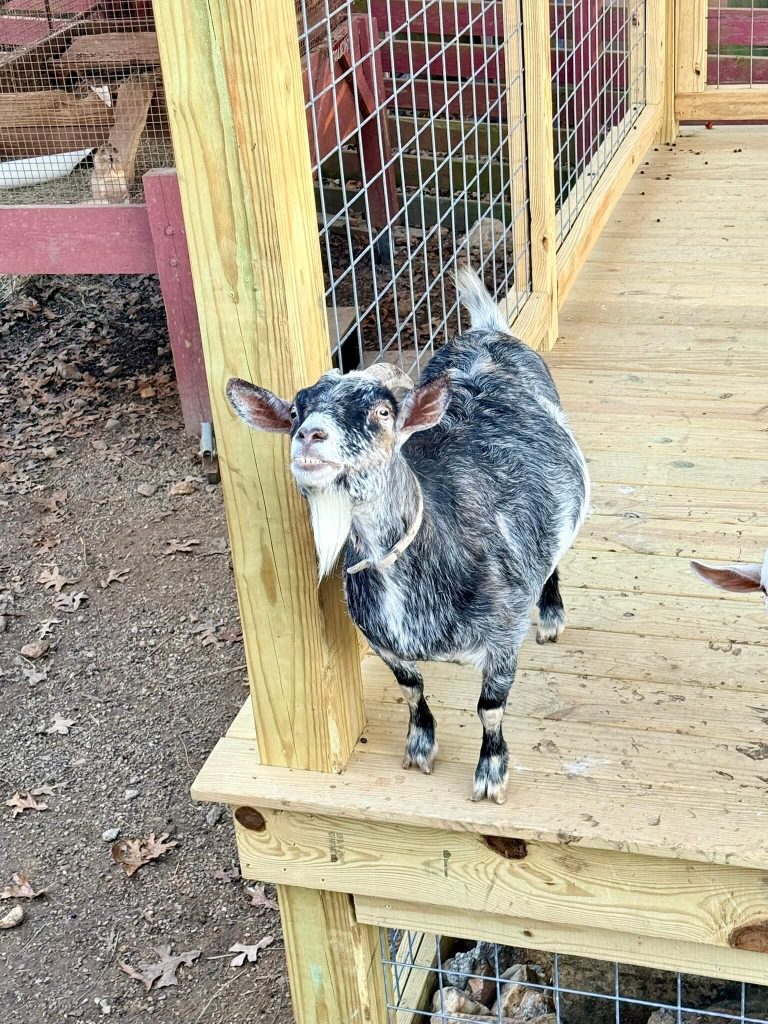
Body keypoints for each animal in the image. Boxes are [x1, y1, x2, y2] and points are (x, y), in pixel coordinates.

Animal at [227, 268, 589, 802]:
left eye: (382, 413)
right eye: (294, 411)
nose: (310, 435)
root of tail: (487, 332)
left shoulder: (504, 635)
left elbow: (490, 708)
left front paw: (490, 774)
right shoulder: (380, 640)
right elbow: (410, 688)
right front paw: (420, 747)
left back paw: (551, 615)